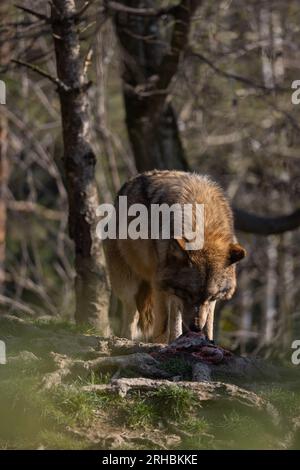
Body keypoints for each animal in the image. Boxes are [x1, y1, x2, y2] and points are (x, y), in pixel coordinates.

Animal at [103, 171, 246, 344]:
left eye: (210, 296)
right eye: (188, 293)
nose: (195, 328)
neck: (204, 222)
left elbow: (208, 327)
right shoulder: (160, 286)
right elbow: (163, 328)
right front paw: (161, 345)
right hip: (130, 285)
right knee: (132, 316)